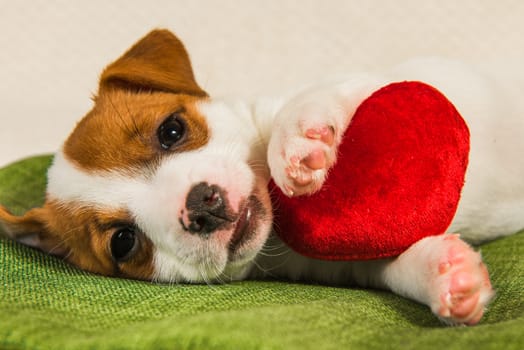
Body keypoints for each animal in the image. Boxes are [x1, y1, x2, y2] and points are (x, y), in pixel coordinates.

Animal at [1, 29, 524, 326]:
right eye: (124, 243)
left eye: (171, 130)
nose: (201, 204)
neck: (278, 234)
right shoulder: (348, 264)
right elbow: (394, 267)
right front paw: (444, 276)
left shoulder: (382, 83)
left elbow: (307, 98)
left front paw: (294, 143)